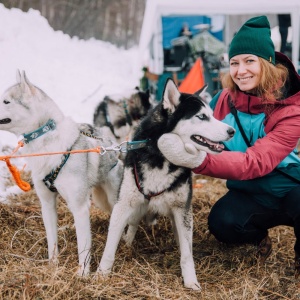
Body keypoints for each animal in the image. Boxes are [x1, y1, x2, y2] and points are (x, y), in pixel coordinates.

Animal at [0, 71, 123, 276]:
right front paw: (53, 265)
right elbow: (52, 240)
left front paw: (82, 275)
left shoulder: (80, 207)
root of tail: (113, 144)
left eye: (6, 101)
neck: (47, 141)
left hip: (113, 199)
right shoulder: (47, 203)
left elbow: (84, 245)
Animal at [98, 78, 234, 290]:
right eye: (202, 116)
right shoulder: (124, 204)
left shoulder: (182, 209)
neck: (160, 156)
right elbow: (110, 245)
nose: (231, 131)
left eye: (212, 115)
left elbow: (187, 252)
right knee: (133, 223)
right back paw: (128, 242)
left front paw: (190, 280)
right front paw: (101, 273)